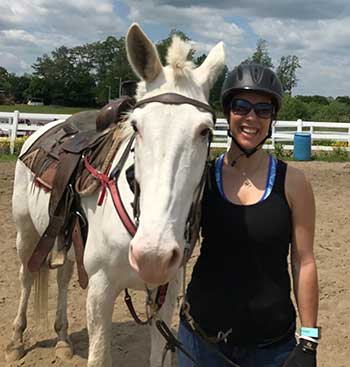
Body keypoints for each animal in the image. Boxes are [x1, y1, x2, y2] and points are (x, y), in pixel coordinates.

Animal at [5, 23, 224, 367]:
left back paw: (63, 339)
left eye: (206, 131)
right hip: (26, 232)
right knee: (27, 275)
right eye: (136, 126)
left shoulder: (165, 296)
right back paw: (16, 341)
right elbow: (99, 357)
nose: (153, 255)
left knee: (63, 276)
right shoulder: (100, 288)